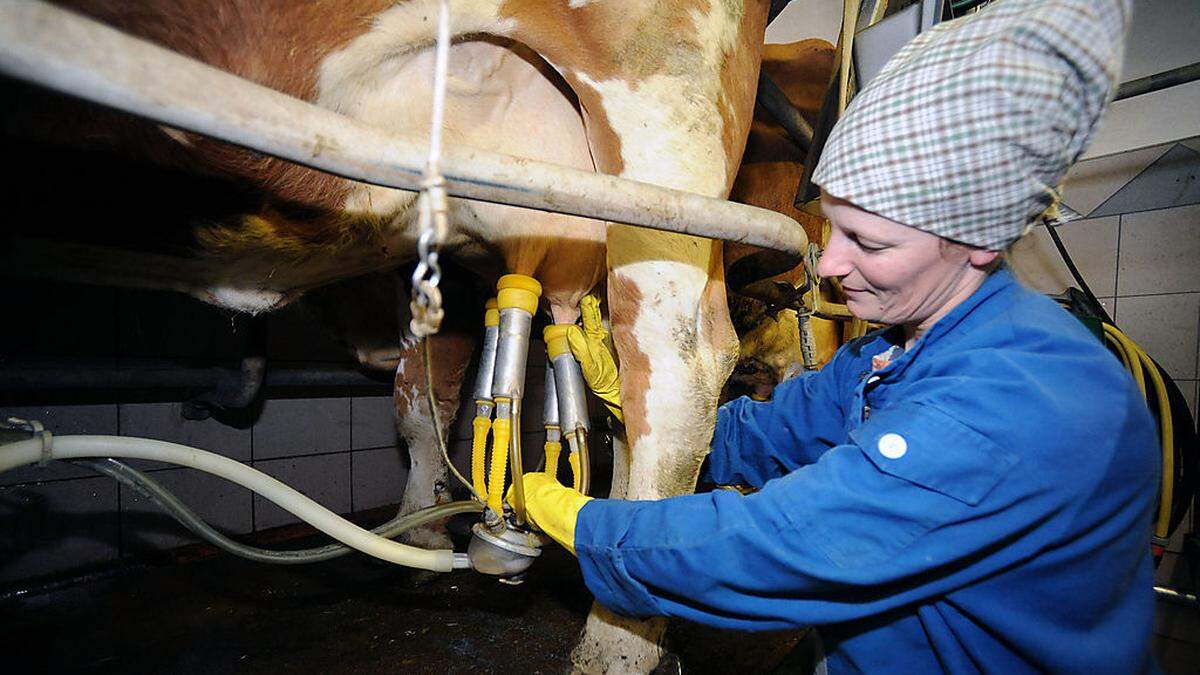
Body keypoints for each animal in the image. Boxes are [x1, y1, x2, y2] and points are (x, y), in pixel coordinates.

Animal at [4, 0, 777, 667]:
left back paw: (619, 636)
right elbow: (421, 404)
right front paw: (425, 528)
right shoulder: (448, 270)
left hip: (665, 125)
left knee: (675, 373)